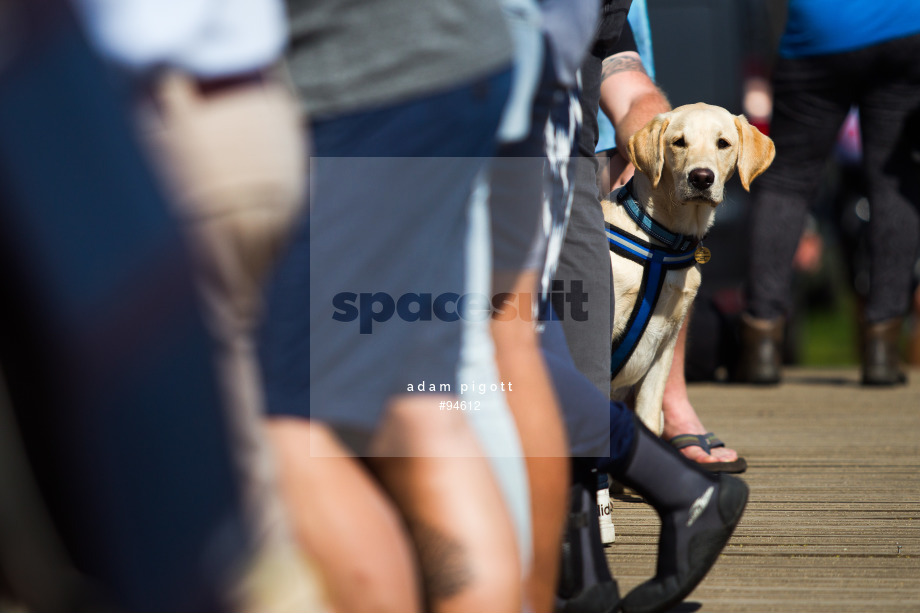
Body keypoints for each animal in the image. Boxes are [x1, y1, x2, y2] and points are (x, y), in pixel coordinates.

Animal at [604, 103, 776, 436]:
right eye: (678, 142)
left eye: (723, 143)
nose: (701, 178)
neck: (662, 242)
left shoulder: (663, 349)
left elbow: (648, 419)